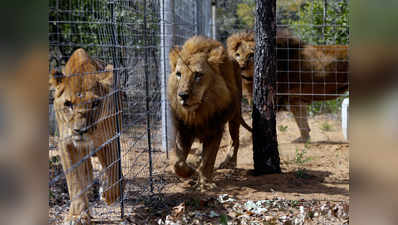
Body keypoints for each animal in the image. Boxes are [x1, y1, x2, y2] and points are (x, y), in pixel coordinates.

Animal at [50, 48, 123, 224]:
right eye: (68, 104)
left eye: (95, 103)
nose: (80, 130)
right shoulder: (66, 143)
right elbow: (75, 180)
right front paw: (77, 215)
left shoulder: (109, 138)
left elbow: (113, 168)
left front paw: (110, 194)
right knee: (86, 168)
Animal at [167, 35, 249, 190]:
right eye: (179, 74)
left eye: (198, 75)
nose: (182, 95)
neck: (198, 112)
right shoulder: (184, 130)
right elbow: (177, 162)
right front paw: (190, 171)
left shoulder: (215, 128)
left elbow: (209, 159)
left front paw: (205, 182)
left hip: (235, 115)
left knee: (234, 139)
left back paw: (229, 162)